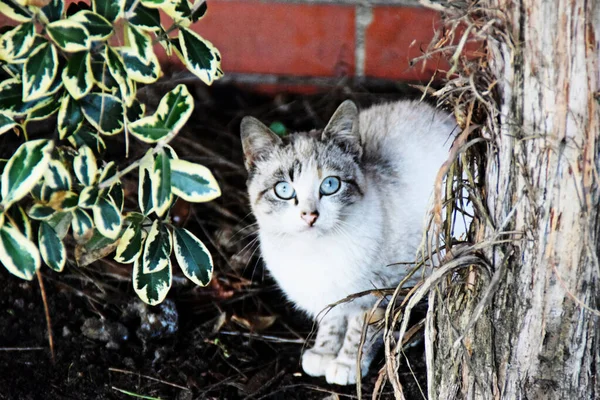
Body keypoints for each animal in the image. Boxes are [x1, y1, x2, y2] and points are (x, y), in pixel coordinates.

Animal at [238, 99, 454, 384]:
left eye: (330, 185)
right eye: (283, 190)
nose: (309, 215)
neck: (312, 253)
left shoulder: (382, 291)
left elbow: (361, 329)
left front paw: (348, 363)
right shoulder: (329, 294)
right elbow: (331, 320)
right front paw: (323, 352)